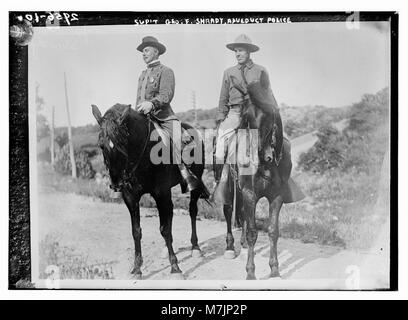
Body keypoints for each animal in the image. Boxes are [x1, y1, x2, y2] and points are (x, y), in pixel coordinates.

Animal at [92, 102, 207, 278]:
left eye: (122, 143)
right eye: (101, 145)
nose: (116, 184)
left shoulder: (161, 193)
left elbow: (165, 229)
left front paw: (175, 267)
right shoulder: (131, 198)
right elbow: (136, 231)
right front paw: (137, 268)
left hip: (194, 184)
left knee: (192, 211)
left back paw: (195, 248)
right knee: (170, 214)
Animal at [214, 80, 302, 280]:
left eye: (270, 115)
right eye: (247, 117)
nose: (262, 154)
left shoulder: (276, 197)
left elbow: (272, 231)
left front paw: (275, 270)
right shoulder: (249, 194)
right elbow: (253, 232)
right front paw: (250, 273)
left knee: (243, 216)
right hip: (230, 188)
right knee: (229, 210)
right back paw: (230, 247)